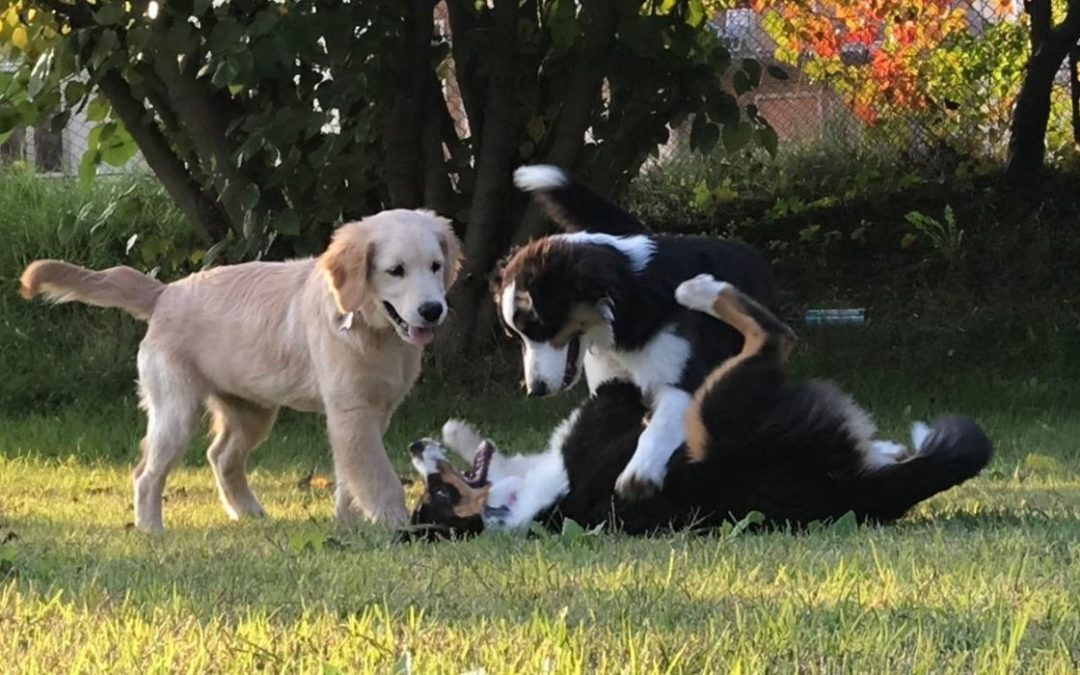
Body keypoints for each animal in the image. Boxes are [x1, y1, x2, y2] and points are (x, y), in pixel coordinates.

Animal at [19, 208, 462, 529]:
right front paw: (399, 525)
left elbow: (350, 473)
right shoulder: (352, 412)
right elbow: (378, 476)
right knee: (147, 472)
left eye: (436, 266)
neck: (374, 330)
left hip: (252, 410)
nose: (433, 310)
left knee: (221, 456)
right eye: (395, 270)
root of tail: (164, 293)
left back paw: (248, 512)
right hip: (176, 410)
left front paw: (348, 522)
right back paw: (151, 528)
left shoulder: (371, 413)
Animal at [406, 274, 993, 537]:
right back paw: (701, 292)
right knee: (773, 337)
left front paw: (456, 430)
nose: (412, 446)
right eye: (439, 495)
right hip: (716, 413)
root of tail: (849, 490)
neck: (518, 506)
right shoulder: (610, 406)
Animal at [494, 165, 781, 496]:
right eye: (516, 335)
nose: (535, 390)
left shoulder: (684, 379)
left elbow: (660, 424)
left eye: (541, 325)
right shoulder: (607, 386)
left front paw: (639, 473)